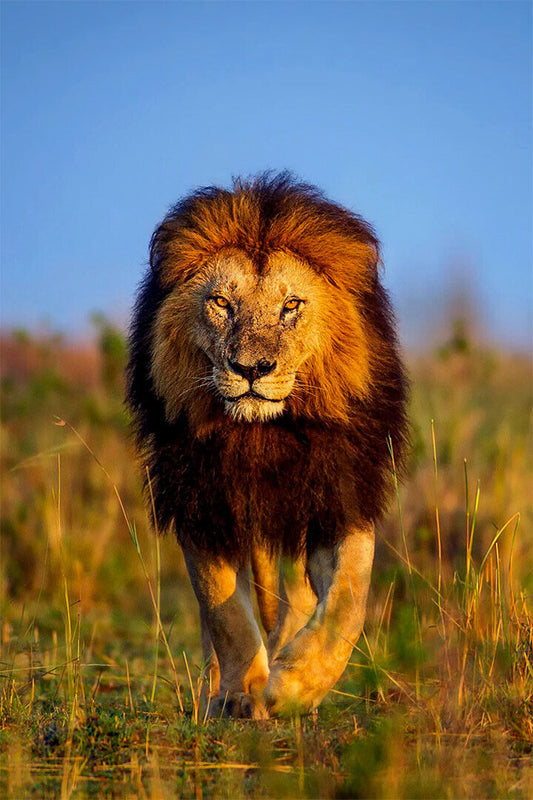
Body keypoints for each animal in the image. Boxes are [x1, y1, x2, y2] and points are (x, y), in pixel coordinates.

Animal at [126, 172, 408, 718]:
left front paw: (293, 687)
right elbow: (225, 613)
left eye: (291, 305)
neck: (263, 435)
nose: (251, 369)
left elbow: (348, 600)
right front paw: (242, 693)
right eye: (221, 303)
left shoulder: (338, 496)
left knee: (298, 597)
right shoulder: (203, 500)